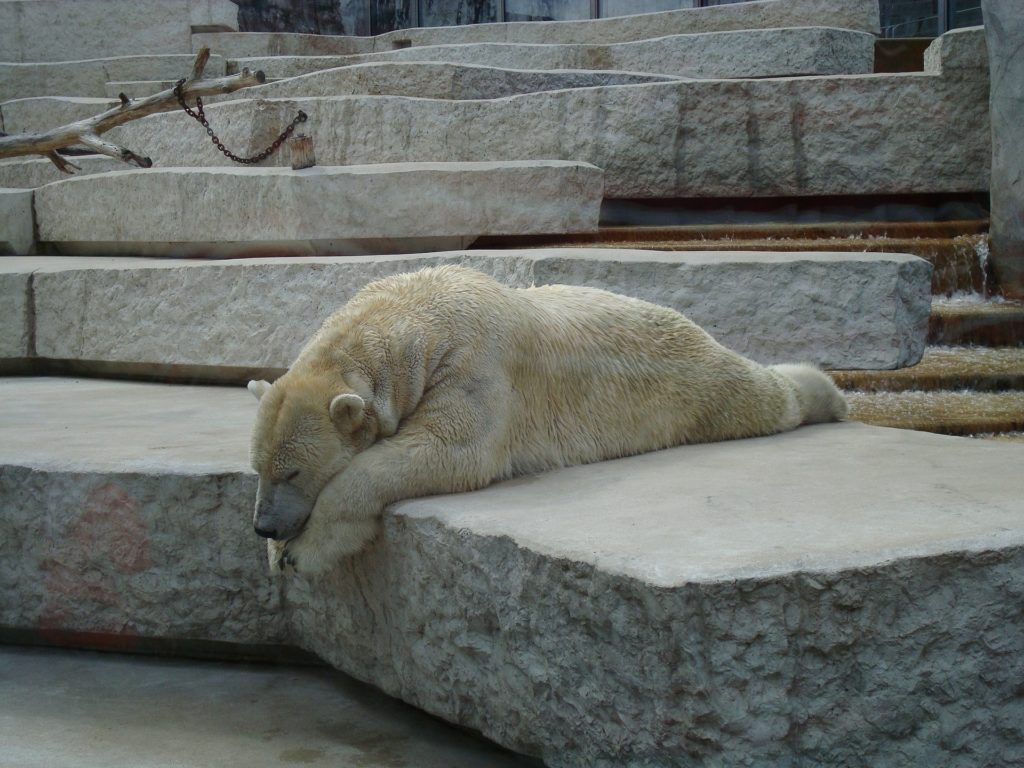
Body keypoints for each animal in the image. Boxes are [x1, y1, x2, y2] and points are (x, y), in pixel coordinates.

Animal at [248, 264, 847, 575]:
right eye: (259, 467)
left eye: (294, 471)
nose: (264, 526)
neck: (409, 312)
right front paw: (281, 549)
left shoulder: (475, 364)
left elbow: (449, 448)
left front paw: (303, 551)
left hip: (688, 383)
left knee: (752, 397)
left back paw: (826, 395)